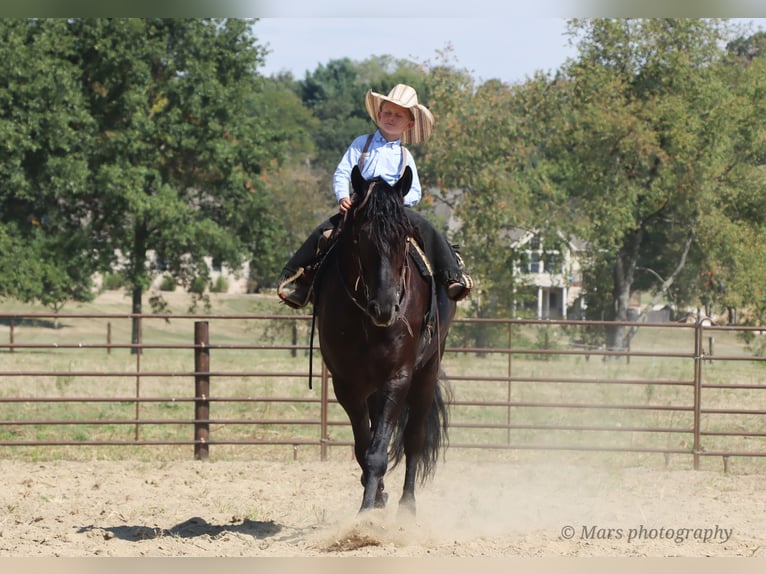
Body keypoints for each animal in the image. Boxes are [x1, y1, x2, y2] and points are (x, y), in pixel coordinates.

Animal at [314, 165, 456, 516]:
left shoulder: (397, 377)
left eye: (404, 236)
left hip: (426, 373)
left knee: (414, 437)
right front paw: (375, 500)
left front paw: (367, 515)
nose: (386, 307)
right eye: (362, 237)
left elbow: (378, 451)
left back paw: (407, 506)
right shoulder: (346, 384)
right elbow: (364, 447)